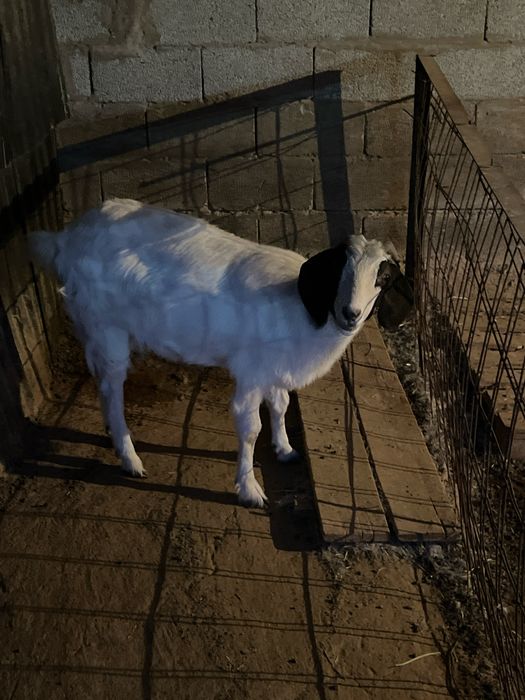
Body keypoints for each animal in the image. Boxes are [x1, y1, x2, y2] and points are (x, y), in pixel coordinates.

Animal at [29, 198, 412, 507]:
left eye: (383, 277)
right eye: (339, 270)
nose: (350, 313)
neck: (300, 307)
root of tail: (67, 239)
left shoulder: (274, 369)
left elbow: (281, 404)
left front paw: (285, 449)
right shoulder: (251, 373)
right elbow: (250, 427)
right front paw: (250, 490)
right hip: (107, 328)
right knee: (112, 387)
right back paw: (130, 458)